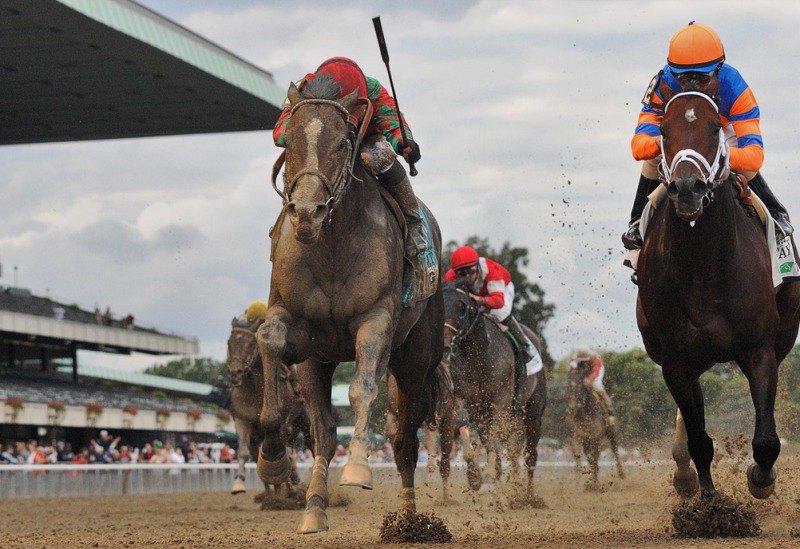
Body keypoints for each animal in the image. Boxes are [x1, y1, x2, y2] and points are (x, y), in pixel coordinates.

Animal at [256, 75, 444, 532]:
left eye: (343, 143)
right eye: (289, 140)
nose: (307, 213)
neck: (332, 246)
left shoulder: (376, 319)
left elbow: (363, 388)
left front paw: (358, 466)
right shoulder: (296, 325)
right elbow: (269, 339)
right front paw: (272, 458)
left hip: (414, 363)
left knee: (404, 439)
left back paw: (409, 520)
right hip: (318, 362)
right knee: (324, 431)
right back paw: (314, 507)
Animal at [440, 282, 548, 496]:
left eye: (462, 308)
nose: (445, 345)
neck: (478, 355)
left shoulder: (500, 401)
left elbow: (493, 439)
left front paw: (488, 475)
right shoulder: (466, 400)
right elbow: (466, 428)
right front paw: (475, 474)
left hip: (533, 411)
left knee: (530, 455)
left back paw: (528, 496)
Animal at [636, 81, 800, 496]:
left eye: (714, 129)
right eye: (664, 132)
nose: (687, 188)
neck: (702, 267)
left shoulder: (759, 349)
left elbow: (766, 440)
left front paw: (761, 479)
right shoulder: (676, 361)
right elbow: (700, 442)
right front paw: (709, 504)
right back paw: (683, 473)